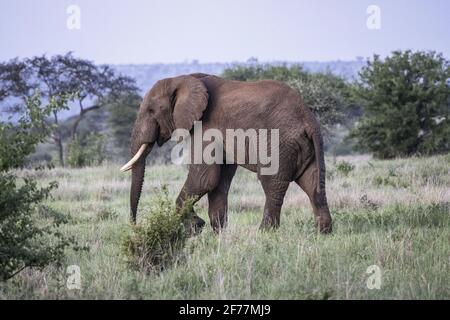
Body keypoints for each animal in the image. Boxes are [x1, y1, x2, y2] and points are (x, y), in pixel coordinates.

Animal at [121, 73, 332, 232]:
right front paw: (218, 234)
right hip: (305, 146)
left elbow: (204, 178)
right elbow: (218, 180)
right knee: (313, 184)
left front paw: (196, 226)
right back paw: (323, 234)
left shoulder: (206, 126)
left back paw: (265, 234)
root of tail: (308, 119)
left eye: (151, 110)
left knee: (272, 184)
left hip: (279, 143)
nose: (135, 225)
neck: (183, 79)